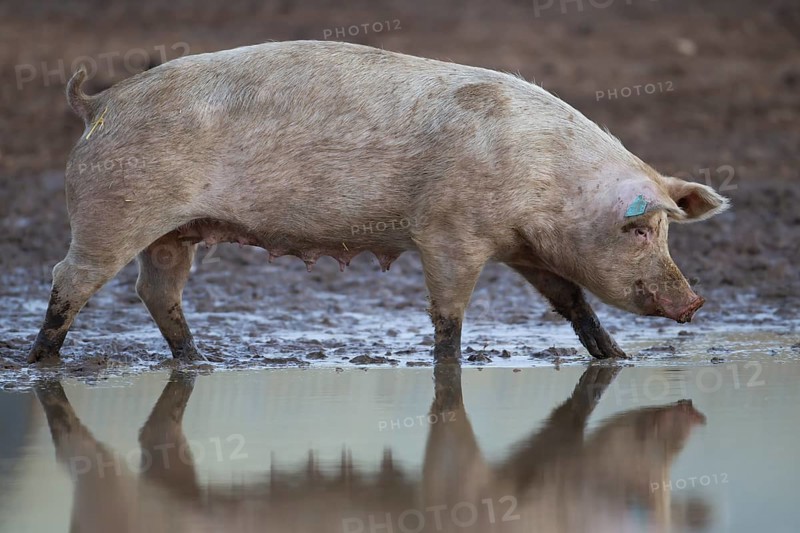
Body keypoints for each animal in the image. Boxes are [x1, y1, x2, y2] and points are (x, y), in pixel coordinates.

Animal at [27, 40, 730, 364]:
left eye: (667, 231)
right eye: (639, 231)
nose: (694, 301)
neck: (544, 183)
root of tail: (99, 102)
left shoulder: (525, 251)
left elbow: (572, 303)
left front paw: (619, 358)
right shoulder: (447, 234)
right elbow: (448, 314)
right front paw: (449, 365)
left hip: (175, 232)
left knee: (156, 291)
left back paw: (199, 362)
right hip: (114, 211)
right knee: (70, 277)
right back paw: (42, 363)